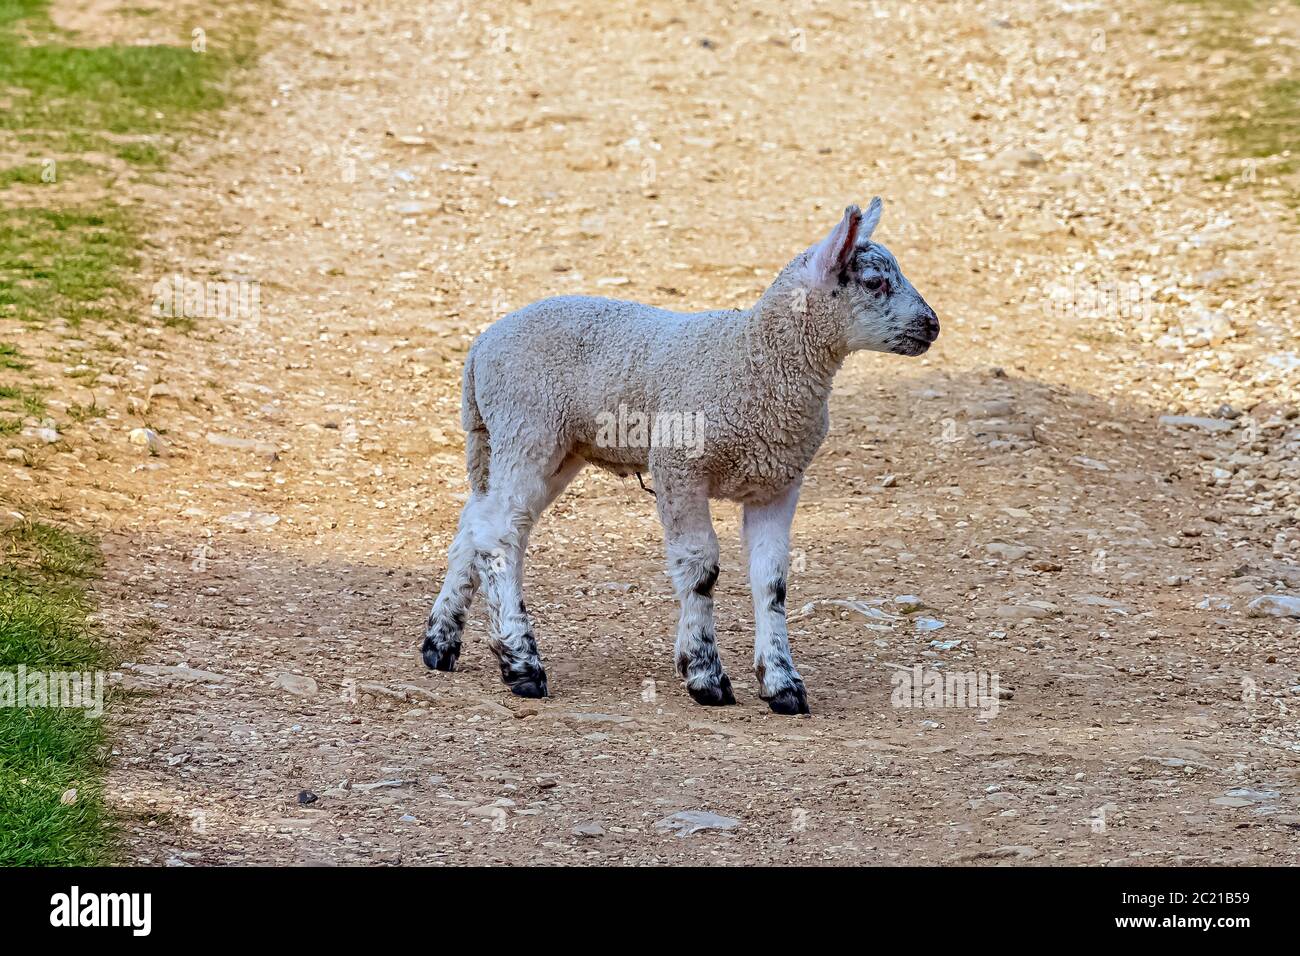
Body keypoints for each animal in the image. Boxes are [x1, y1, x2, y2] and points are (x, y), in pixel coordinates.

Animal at [421, 197, 941, 712]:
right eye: (874, 282)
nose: (933, 325)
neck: (754, 358)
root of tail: (481, 347)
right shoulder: (679, 468)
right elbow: (700, 568)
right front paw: (705, 674)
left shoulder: (778, 482)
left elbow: (771, 580)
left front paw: (782, 683)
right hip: (528, 427)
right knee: (500, 534)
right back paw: (522, 664)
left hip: (551, 449)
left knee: (478, 523)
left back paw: (441, 643)